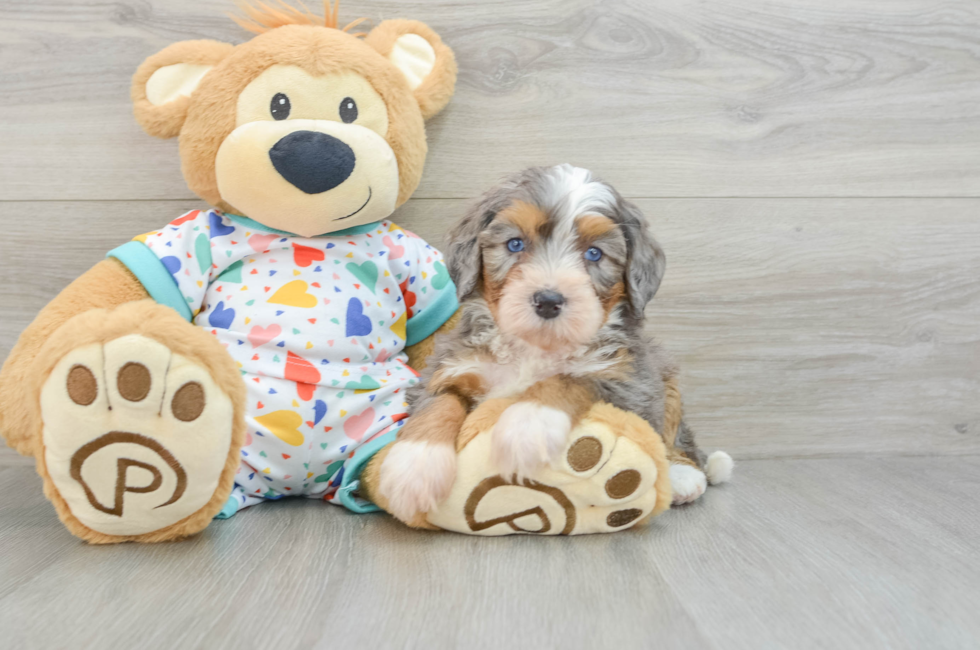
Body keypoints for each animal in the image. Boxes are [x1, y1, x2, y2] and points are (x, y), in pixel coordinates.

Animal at [378, 165, 732, 520]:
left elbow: (568, 378)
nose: (548, 301)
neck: (534, 347)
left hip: (665, 376)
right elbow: (439, 403)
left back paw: (682, 475)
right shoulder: (453, 364)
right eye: (515, 244)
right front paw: (413, 467)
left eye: (594, 253)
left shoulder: (629, 380)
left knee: (677, 436)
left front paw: (527, 425)